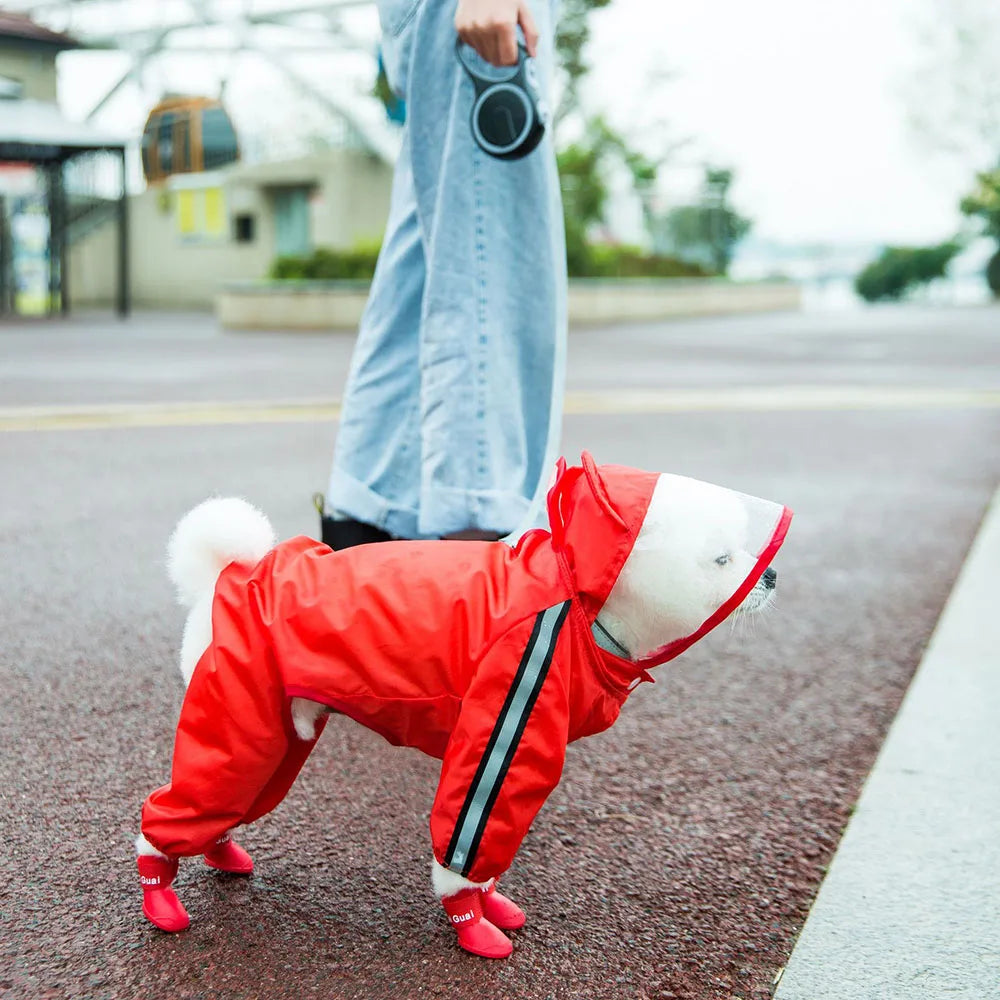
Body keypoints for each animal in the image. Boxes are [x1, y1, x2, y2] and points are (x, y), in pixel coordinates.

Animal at [135, 458, 788, 956]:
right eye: (723, 560)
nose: (773, 576)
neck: (578, 598)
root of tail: (231, 574)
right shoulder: (508, 717)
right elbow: (467, 844)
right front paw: (472, 925)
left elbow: (494, 855)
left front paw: (491, 902)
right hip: (237, 720)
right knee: (174, 814)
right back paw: (160, 897)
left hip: (275, 739)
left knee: (226, 805)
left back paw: (220, 853)